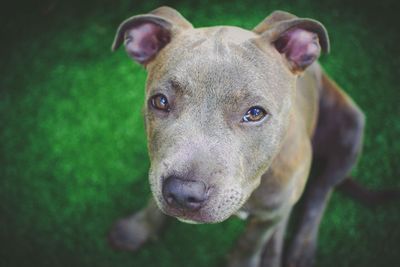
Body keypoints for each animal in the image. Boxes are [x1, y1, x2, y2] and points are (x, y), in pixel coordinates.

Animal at [108, 6, 368, 267]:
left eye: (254, 113)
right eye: (160, 101)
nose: (182, 193)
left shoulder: (266, 219)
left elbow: (249, 243)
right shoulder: (159, 165)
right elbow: (154, 197)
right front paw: (138, 229)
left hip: (350, 130)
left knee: (319, 193)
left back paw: (300, 249)